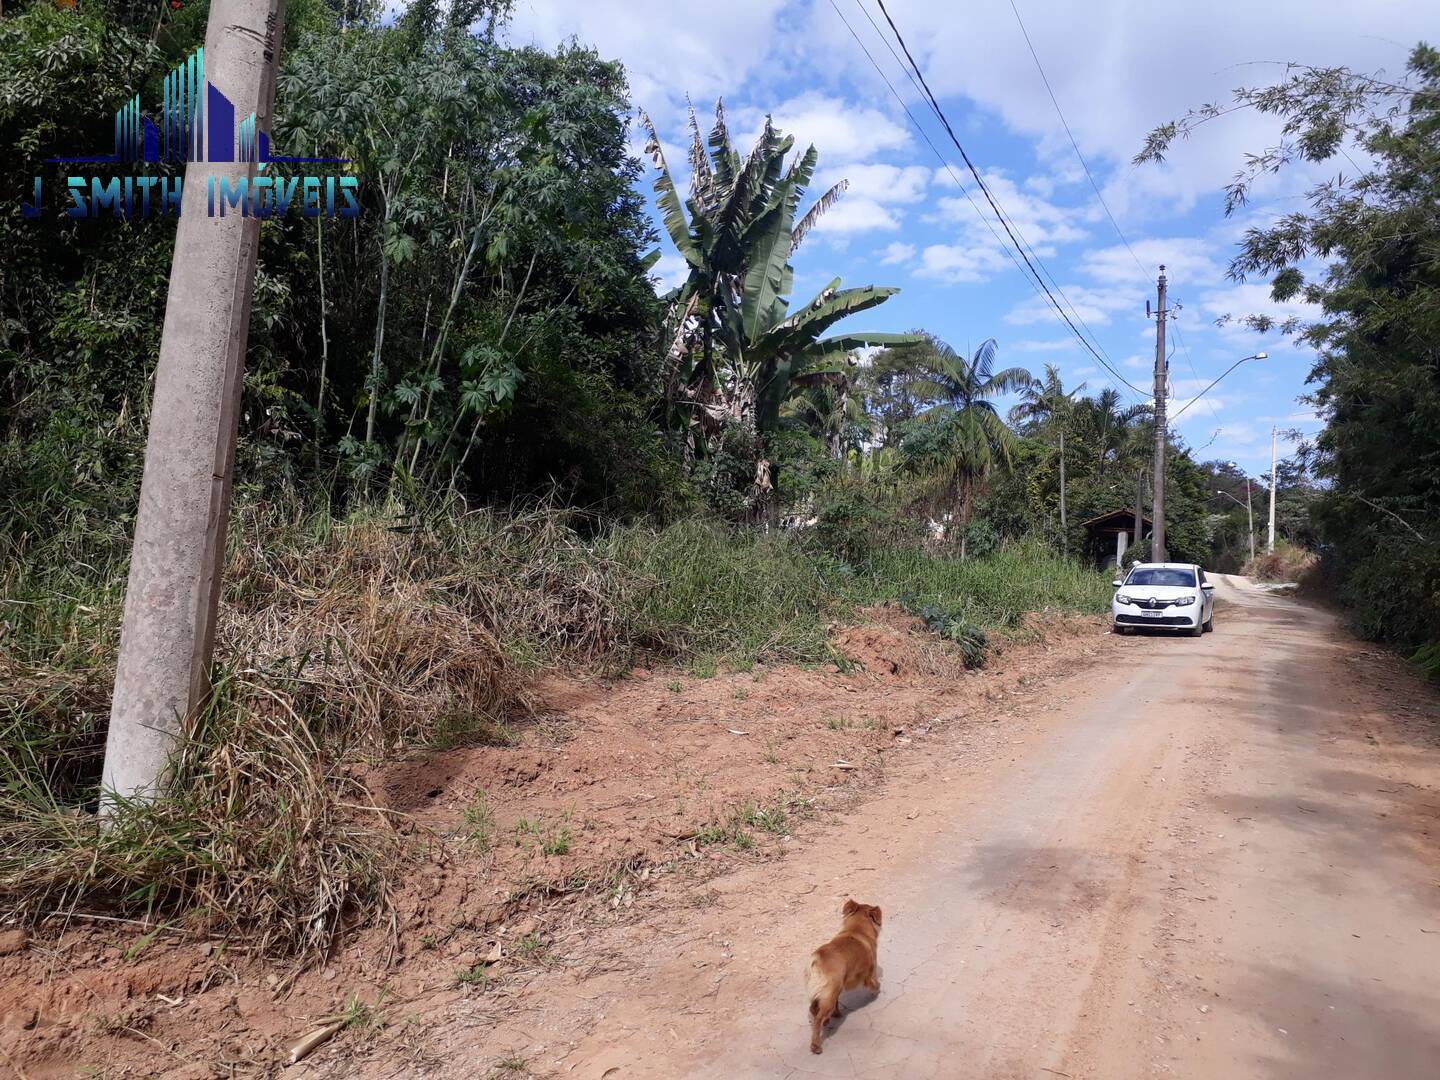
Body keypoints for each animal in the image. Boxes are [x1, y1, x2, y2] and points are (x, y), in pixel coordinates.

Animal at [806, 898, 881, 1059]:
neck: (856, 930)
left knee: (814, 1008)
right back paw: (816, 1045)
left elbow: (837, 1003)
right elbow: (874, 982)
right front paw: (876, 989)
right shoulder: (869, 972)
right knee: (818, 1019)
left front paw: (837, 1013)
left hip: (829, 990)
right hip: (829, 993)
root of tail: (818, 958)